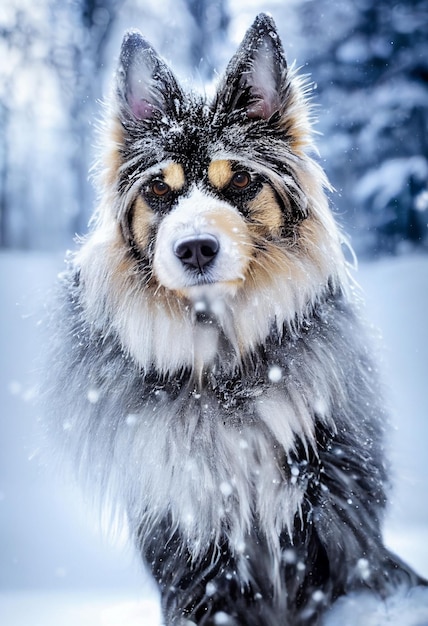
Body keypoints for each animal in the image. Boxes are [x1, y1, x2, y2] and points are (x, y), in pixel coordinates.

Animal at [45, 12, 426, 620]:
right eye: (159, 187)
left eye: (243, 179)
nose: (196, 248)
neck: (225, 362)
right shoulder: (192, 540)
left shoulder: (331, 515)